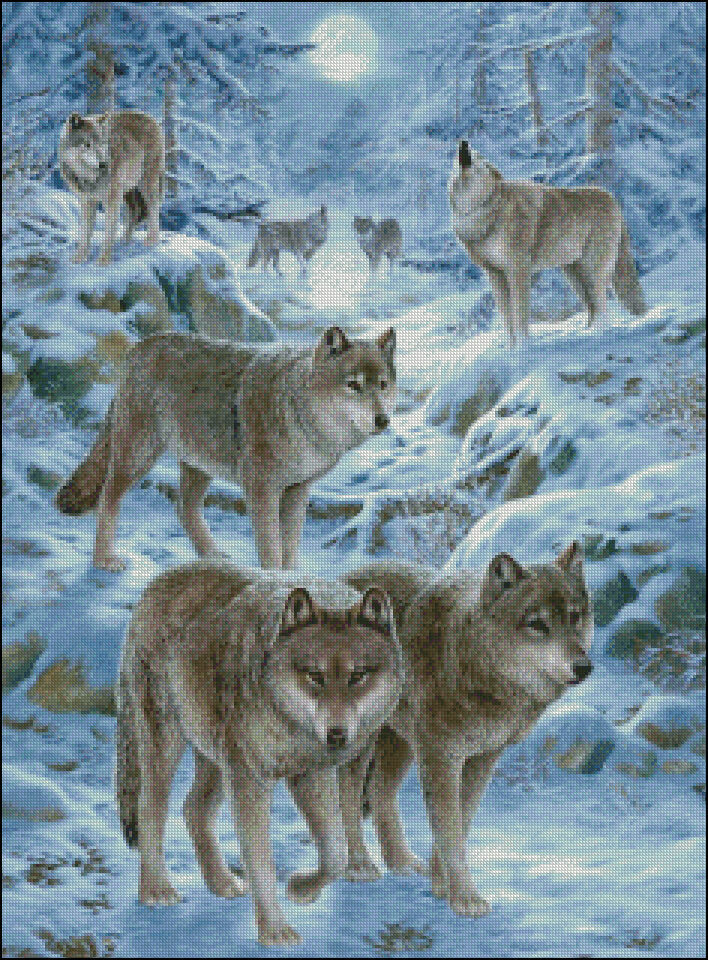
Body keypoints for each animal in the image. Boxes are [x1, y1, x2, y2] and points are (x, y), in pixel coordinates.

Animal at [55, 326, 396, 572]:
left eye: (382, 385)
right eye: (353, 385)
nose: (383, 420)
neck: (299, 415)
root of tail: (138, 347)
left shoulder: (298, 488)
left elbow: (289, 546)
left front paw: (293, 580)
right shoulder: (261, 488)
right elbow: (271, 548)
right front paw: (274, 584)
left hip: (198, 467)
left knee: (184, 507)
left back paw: (212, 556)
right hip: (137, 457)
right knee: (107, 499)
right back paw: (104, 560)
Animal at [59, 109, 165, 265]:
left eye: (102, 143)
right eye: (88, 144)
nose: (104, 164)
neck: (89, 177)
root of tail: (145, 115)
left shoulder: (111, 201)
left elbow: (108, 232)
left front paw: (103, 261)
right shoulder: (86, 201)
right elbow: (85, 232)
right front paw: (79, 258)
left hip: (146, 184)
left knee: (154, 208)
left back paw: (151, 241)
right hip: (127, 191)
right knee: (135, 211)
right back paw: (124, 242)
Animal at [116, 560, 404, 946]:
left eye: (358, 676)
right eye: (314, 675)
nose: (337, 733)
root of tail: (158, 582)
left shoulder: (309, 775)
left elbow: (335, 853)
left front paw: (301, 890)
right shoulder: (252, 780)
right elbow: (262, 863)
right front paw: (274, 930)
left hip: (217, 758)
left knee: (193, 808)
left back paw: (221, 882)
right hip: (171, 747)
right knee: (150, 809)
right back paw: (156, 891)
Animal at [341, 543, 594, 917]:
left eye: (575, 617)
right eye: (537, 624)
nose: (584, 667)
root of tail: (347, 573)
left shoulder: (481, 759)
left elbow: (459, 825)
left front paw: (440, 886)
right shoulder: (440, 757)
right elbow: (449, 832)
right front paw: (465, 898)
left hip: (401, 743)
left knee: (380, 792)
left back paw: (402, 864)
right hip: (363, 742)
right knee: (347, 793)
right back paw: (359, 866)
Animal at [449, 140, 647, 343]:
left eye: (478, 157)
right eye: (473, 152)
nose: (464, 143)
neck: (479, 210)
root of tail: (612, 199)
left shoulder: (518, 270)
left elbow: (519, 317)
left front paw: (523, 346)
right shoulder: (495, 274)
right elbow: (507, 320)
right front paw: (511, 348)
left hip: (592, 272)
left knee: (601, 306)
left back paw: (595, 334)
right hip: (574, 276)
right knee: (592, 307)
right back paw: (586, 332)